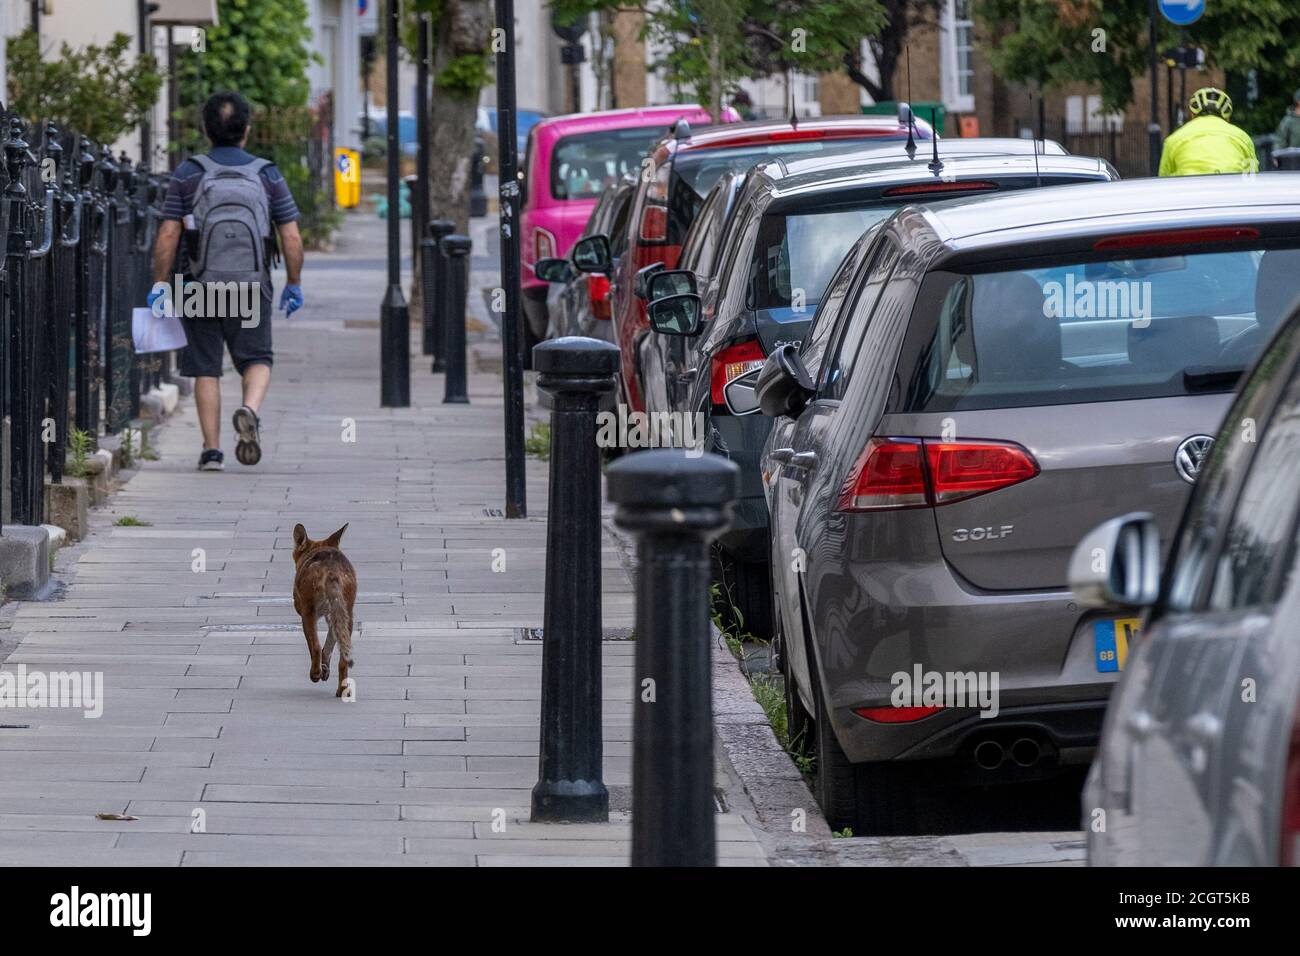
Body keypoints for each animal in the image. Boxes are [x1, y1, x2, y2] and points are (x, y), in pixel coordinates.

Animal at [293, 522, 358, 697]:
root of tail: (331, 570)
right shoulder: (334, 616)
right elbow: (328, 647)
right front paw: (325, 669)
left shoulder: (308, 611)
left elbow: (317, 647)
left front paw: (320, 671)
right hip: (347, 615)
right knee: (343, 661)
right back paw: (342, 689)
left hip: (308, 613)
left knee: (315, 646)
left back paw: (314, 674)